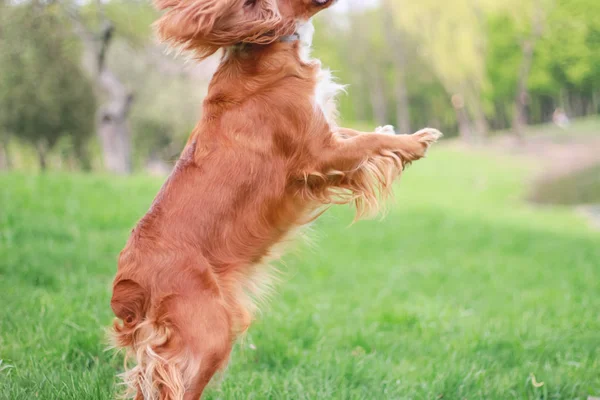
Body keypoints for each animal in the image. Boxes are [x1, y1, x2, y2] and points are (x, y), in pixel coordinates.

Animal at [110, 0, 442, 398]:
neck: (270, 46)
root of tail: (130, 281)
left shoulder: (326, 137)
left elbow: (360, 135)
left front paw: (396, 133)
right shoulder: (319, 152)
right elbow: (368, 142)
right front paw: (417, 141)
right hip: (209, 335)